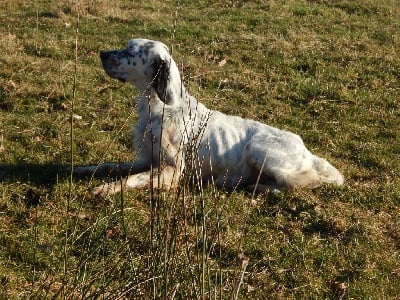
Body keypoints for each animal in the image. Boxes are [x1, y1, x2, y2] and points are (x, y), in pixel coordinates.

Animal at [75, 38, 344, 197]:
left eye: (130, 51)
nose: (102, 54)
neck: (160, 107)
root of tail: (306, 150)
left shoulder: (172, 171)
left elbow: (132, 178)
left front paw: (106, 188)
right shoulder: (146, 159)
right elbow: (109, 166)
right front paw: (80, 169)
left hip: (257, 148)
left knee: (304, 182)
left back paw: (259, 187)